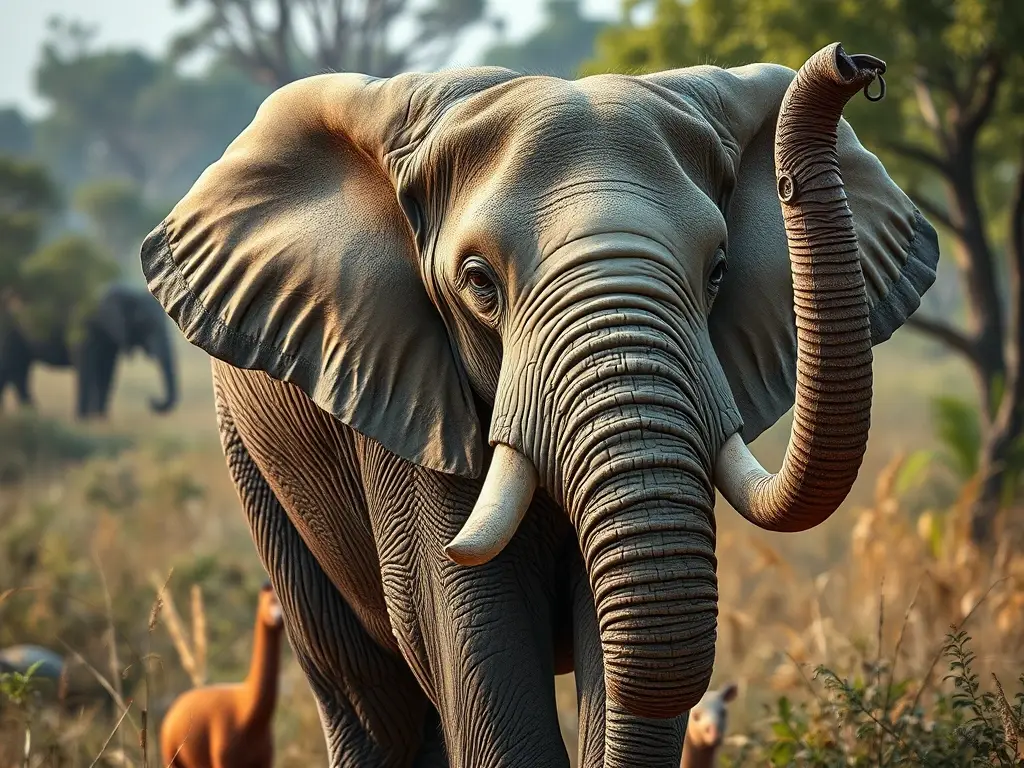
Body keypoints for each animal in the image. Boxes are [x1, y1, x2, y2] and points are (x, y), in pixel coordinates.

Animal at [0, 284, 178, 419]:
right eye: (145, 324)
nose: (152, 401)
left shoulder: (111, 336)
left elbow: (107, 371)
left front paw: (100, 419)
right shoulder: (82, 328)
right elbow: (86, 368)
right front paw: (83, 420)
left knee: (19, 370)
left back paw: (30, 412)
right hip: (9, 327)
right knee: (12, 367)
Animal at [140, 43, 939, 767]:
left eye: (717, 271)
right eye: (478, 283)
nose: (853, 65)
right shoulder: (406, 386)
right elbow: (470, 637)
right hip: (255, 461)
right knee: (371, 699)